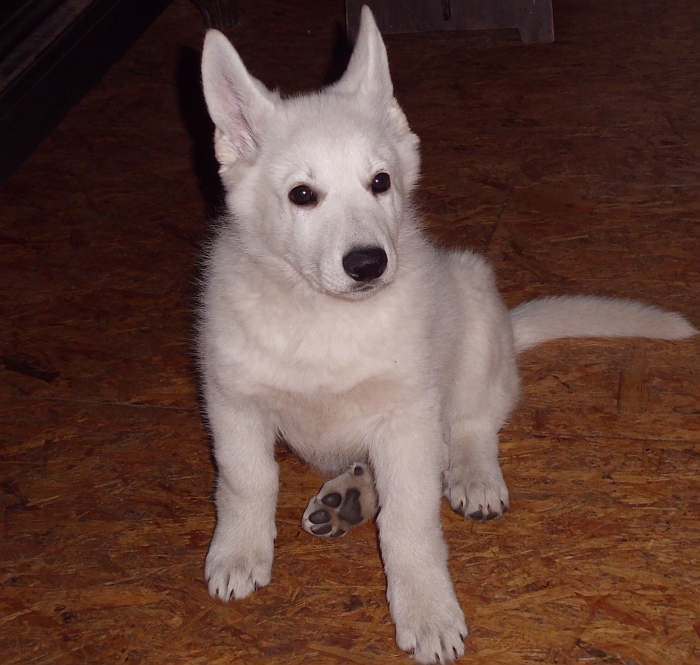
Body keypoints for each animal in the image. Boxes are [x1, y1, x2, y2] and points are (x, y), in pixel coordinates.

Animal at [196, 7, 696, 660]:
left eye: (381, 182)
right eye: (301, 195)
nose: (369, 264)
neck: (322, 318)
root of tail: (509, 329)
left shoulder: (409, 416)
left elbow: (409, 522)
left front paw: (427, 610)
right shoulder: (233, 401)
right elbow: (247, 479)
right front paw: (238, 552)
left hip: (475, 320)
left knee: (473, 424)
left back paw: (472, 477)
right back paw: (348, 495)